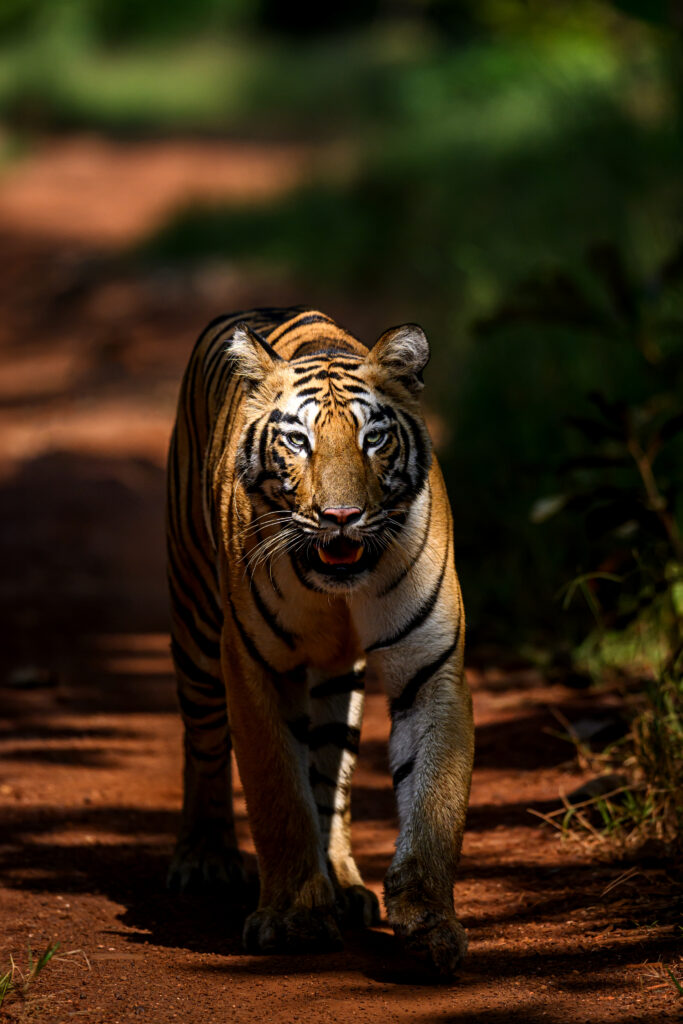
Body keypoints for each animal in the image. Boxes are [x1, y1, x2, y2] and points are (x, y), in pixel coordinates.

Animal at [165, 305, 475, 974]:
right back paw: (204, 858)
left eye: (373, 439)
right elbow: (278, 795)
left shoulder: (430, 666)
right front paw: (295, 921)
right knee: (204, 744)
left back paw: (345, 884)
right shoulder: (254, 665)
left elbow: (434, 798)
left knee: (331, 780)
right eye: (297, 441)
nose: (340, 517)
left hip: (337, 685)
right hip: (195, 624)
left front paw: (430, 925)